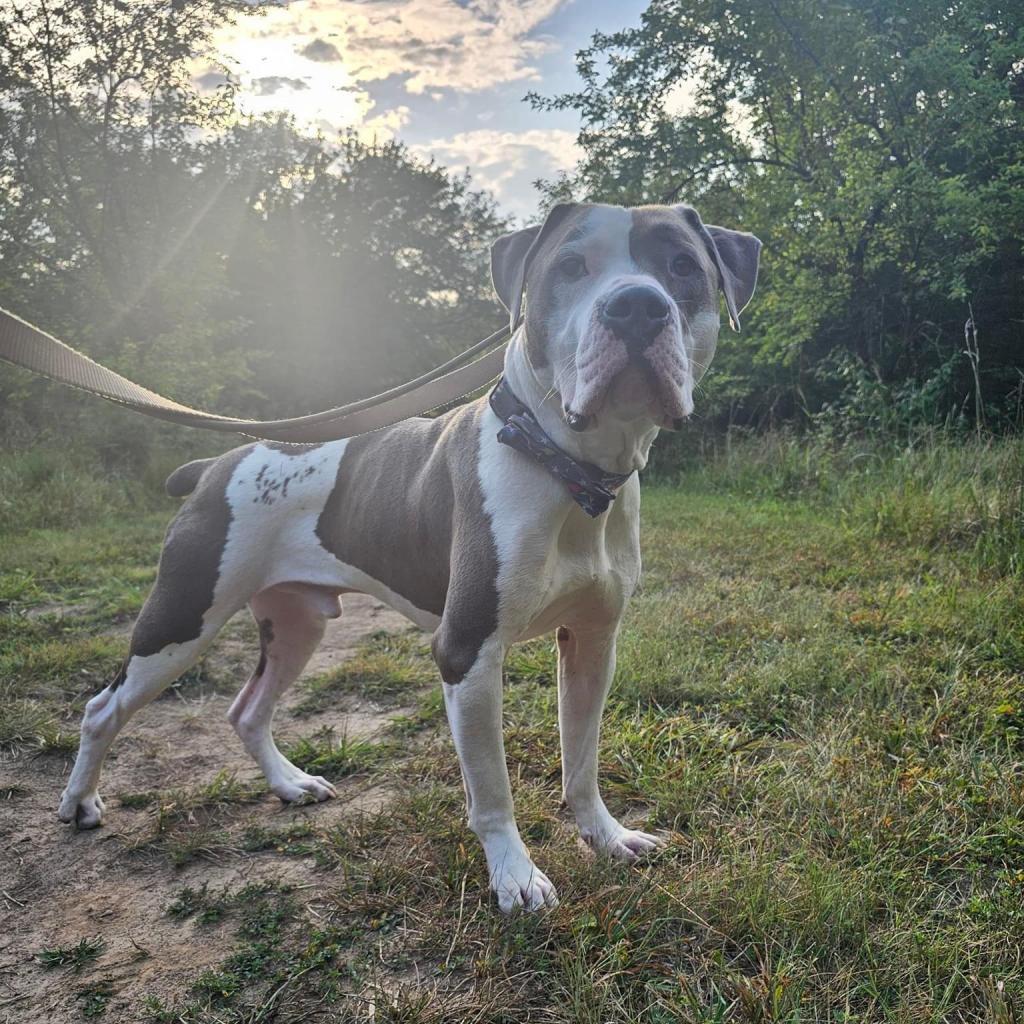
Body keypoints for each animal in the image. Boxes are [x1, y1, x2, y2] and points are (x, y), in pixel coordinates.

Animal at [58, 199, 761, 913]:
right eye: (569, 267)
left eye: (683, 267)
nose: (636, 306)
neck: (569, 469)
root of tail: (216, 464)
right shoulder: (467, 651)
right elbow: (492, 789)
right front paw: (514, 876)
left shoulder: (593, 641)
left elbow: (582, 759)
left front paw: (606, 837)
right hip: (181, 616)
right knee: (102, 709)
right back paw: (80, 803)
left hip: (296, 623)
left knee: (247, 710)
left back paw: (290, 785)